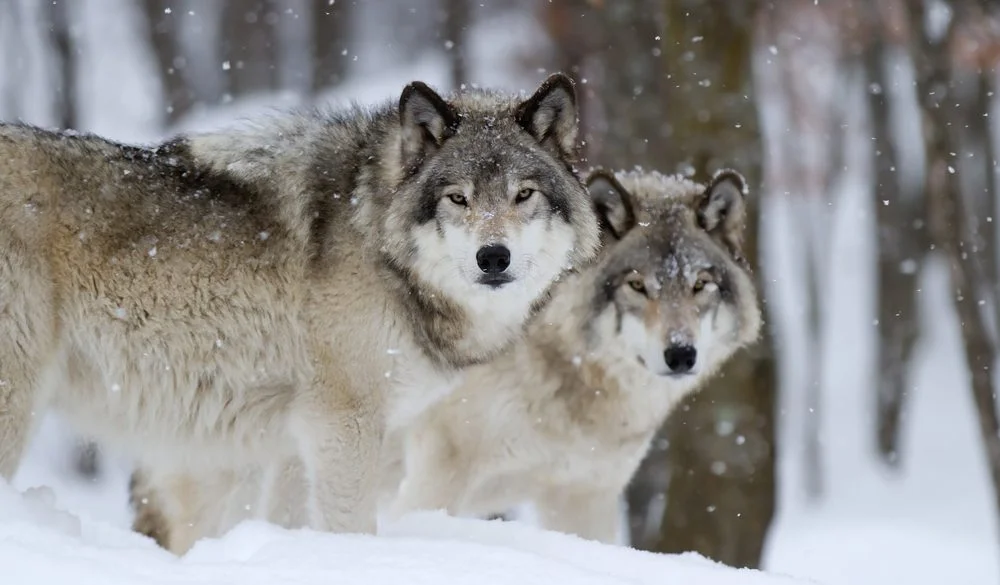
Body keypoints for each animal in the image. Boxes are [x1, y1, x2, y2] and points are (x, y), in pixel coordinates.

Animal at [0, 73, 601, 538]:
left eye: (524, 195)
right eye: (458, 198)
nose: (493, 257)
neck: (375, 237)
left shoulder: (292, 441)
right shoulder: (343, 425)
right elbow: (351, 528)